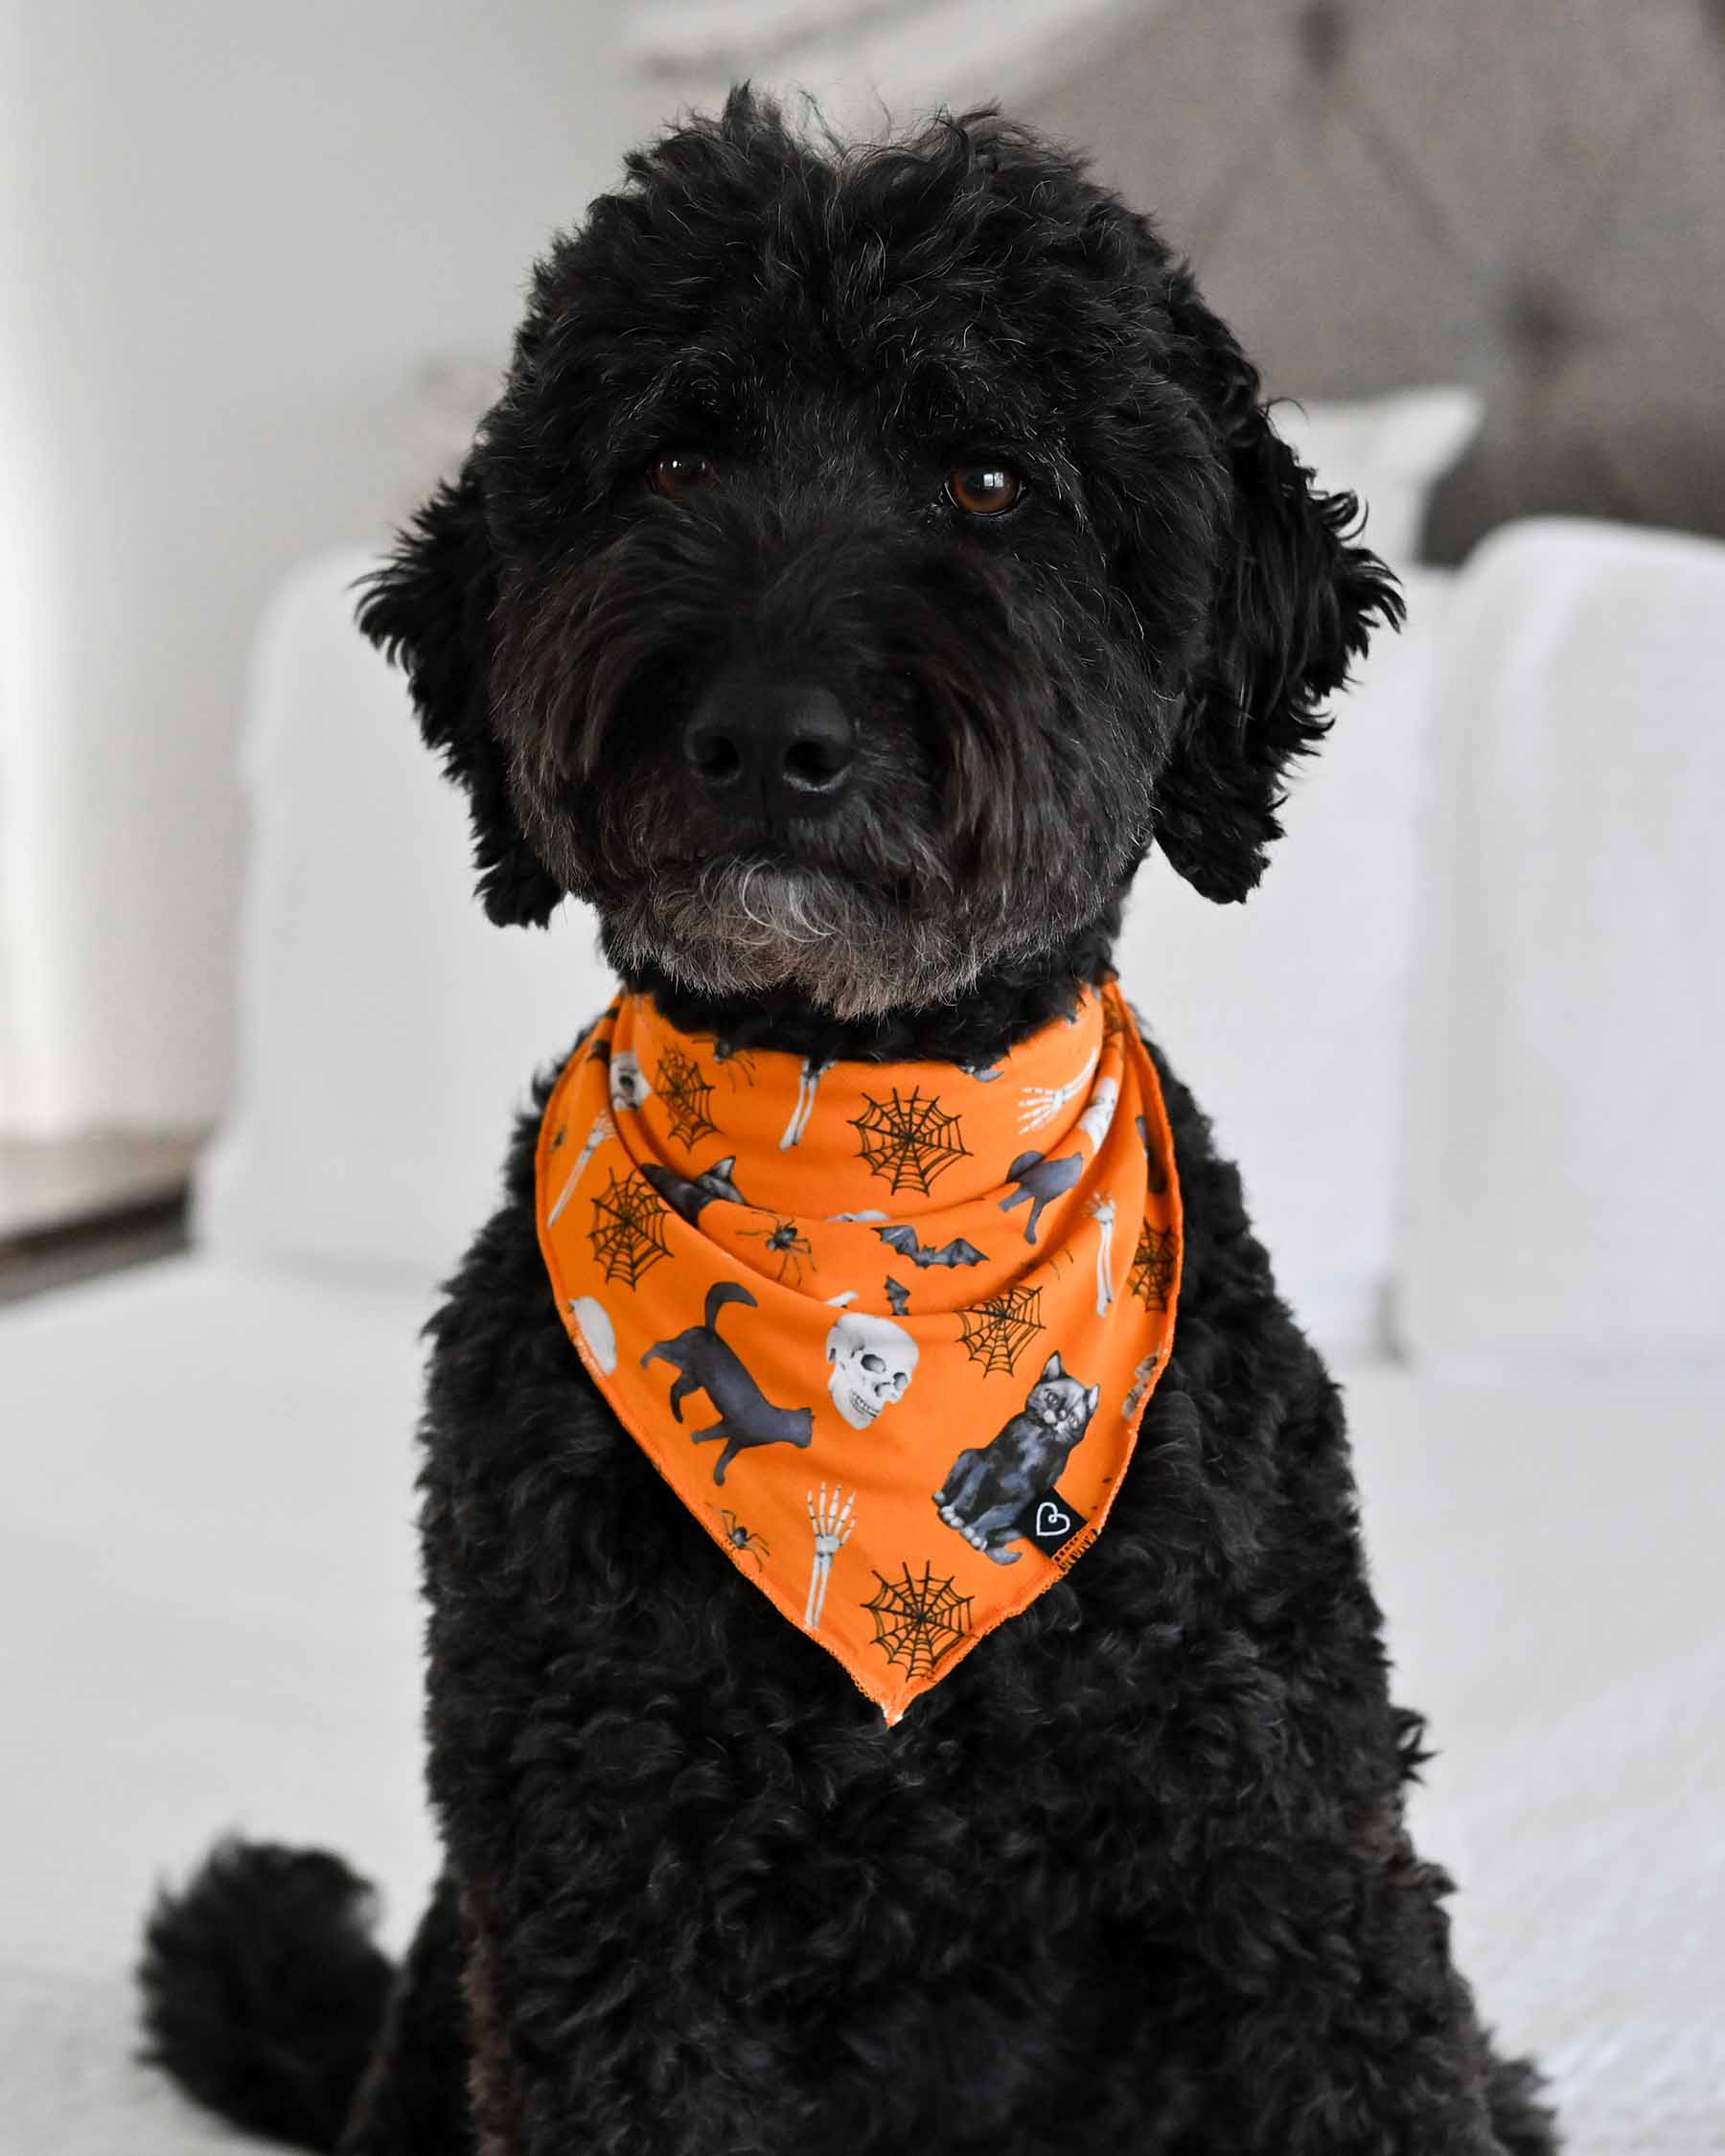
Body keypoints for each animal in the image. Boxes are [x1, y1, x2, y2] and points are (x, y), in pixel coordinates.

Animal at [141, 92, 1552, 2156]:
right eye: (669, 456)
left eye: (990, 476)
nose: (762, 732)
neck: (858, 1145)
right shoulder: (604, 1869)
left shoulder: (1290, 1816)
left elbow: (1366, 2051)